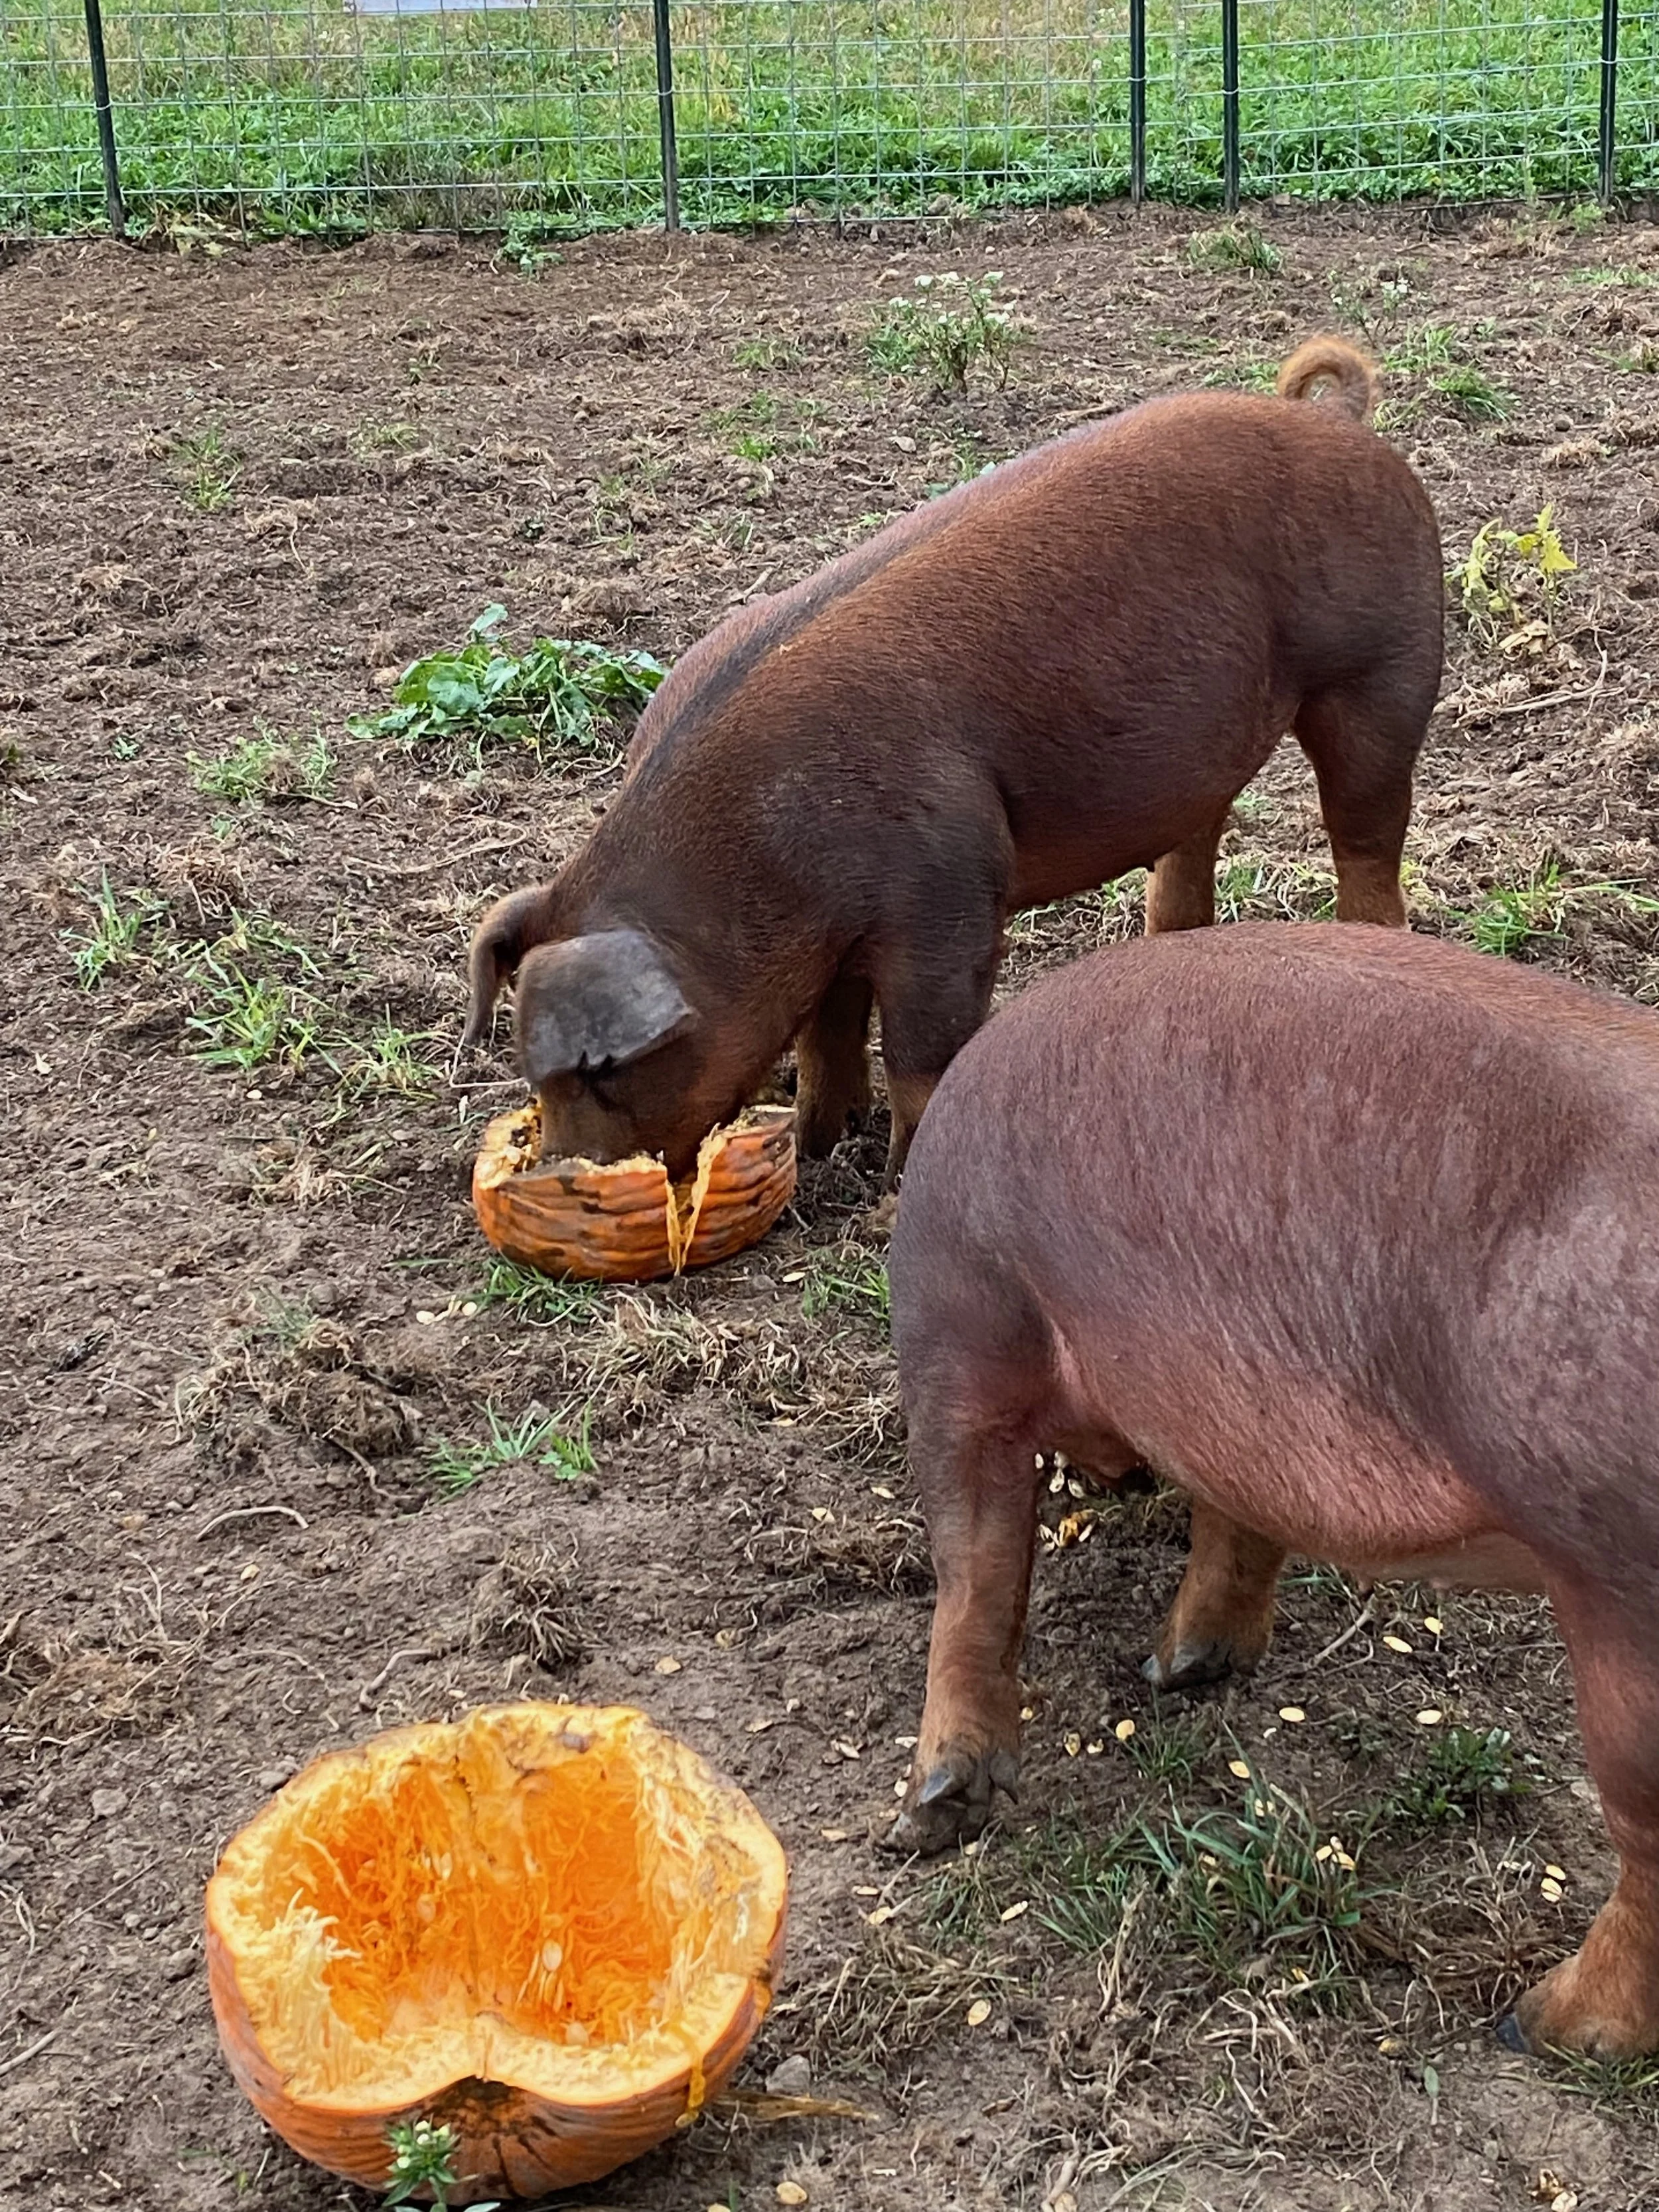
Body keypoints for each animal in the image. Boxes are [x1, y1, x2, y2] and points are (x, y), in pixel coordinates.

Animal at [464, 339, 1442, 1186]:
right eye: (533, 1067)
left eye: (601, 1071)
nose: (561, 1169)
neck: (752, 860)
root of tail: (1337, 420)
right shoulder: (830, 942)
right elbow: (825, 1037)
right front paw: (813, 1146)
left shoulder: (949, 891)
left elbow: (922, 1053)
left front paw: (894, 1192)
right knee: (1196, 841)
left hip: (1386, 670)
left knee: (1365, 836)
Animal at [888, 920, 1659, 2059]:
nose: (1117, 1476)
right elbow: (1238, 1523)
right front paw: (1182, 1668)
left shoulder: (956, 1341)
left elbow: (974, 1574)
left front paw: (931, 1815)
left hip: (1621, 1593)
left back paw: (1536, 2025)